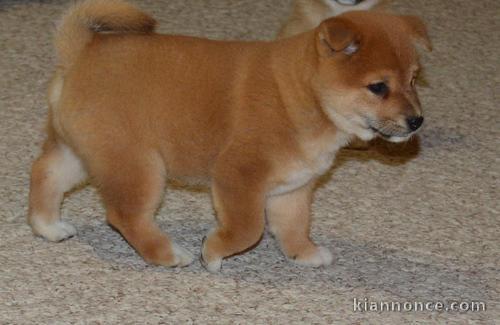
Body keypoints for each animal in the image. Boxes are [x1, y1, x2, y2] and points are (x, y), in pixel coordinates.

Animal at [29, 0, 432, 270]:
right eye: (378, 87)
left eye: (413, 79)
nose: (417, 121)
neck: (299, 94)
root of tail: (80, 51)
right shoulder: (238, 175)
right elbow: (247, 228)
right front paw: (212, 252)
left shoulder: (293, 188)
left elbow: (294, 227)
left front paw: (304, 253)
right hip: (137, 165)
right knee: (125, 215)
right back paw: (168, 254)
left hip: (81, 153)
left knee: (46, 174)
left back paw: (48, 227)